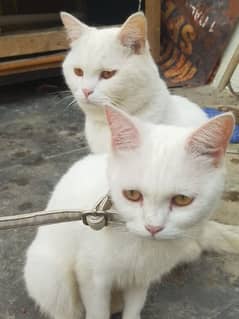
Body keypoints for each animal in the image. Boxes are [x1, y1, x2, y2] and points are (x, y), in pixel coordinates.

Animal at [23, 107, 236, 319]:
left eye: (182, 200)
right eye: (132, 194)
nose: (153, 227)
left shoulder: (141, 277)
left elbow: (135, 305)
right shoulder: (91, 277)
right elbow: (97, 311)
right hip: (52, 279)